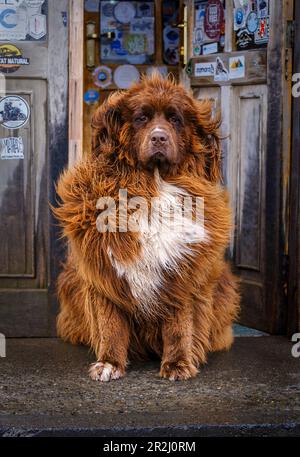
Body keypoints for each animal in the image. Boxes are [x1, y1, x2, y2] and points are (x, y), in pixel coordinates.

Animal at [53, 75, 239, 382]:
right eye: (141, 118)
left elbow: (179, 324)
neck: (154, 183)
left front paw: (178, 363)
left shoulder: (184, 271)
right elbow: (110, 324)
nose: (159, 137)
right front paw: (109, 363)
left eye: (175, 119)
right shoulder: (103, 271)